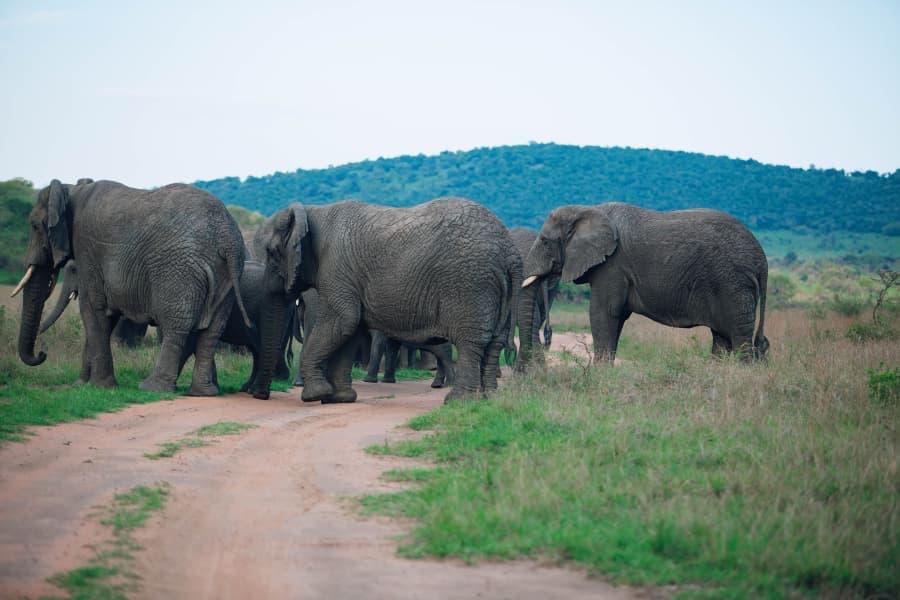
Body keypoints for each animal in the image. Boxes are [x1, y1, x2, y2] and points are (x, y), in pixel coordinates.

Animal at [14, 179, 250, 395]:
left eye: (34, 226)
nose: (42, 353)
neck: (72, 189)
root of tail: (227, 238)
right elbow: (105, 316)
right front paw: (84, 385)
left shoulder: (87, 248)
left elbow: (93, 310)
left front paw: (101, 387)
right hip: (228, 274)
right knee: (211, 329)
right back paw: (203, 392)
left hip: (178, 270)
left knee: (176, 325)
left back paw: (153, 388)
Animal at [252, 198, 521, 403]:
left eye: (271, 252)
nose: (260, 396)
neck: (311, 211)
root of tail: (511, 252)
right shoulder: (348, 277)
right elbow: (350, 329)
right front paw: (340, 399)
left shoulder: (338, 270)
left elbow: (342, 321)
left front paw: (315, 395)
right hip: (499, 289)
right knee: (494, 342)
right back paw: (488, 399)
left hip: (468, 283)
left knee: (470, 341)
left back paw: (458, 401)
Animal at [518, 202, 769, 367]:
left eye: (544, 241)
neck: (587, 210)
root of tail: (762, 261)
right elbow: (615, 317)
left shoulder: (612, 265)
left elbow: (603, 312)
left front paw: (598, 377)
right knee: (722, 338)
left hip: (733, 284)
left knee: (739, 337)